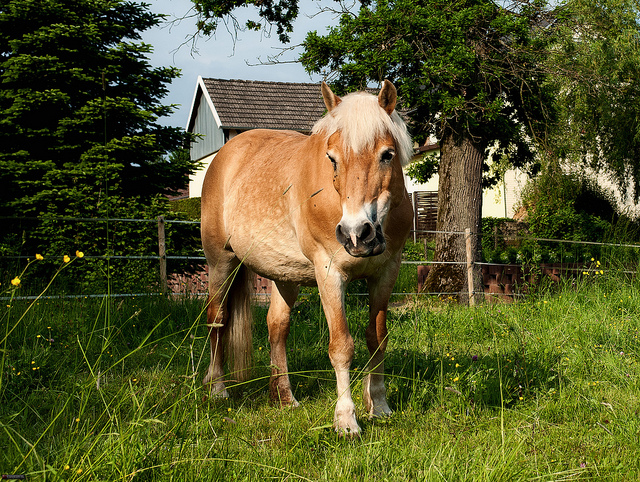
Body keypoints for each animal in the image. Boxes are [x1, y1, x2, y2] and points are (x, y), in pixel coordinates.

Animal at [200, 80, 413, 436]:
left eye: (387, 155)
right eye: (332, 158)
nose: (357, 234)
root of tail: (225, 155)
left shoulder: (386, 274)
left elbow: (377, 338)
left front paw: (380, 406)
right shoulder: (329, 274)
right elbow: (341, 346)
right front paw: (346, 420)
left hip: (283, 276)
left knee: (277, 327)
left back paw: (284, 397)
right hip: (221, 262)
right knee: (218, 319)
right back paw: (217, 389)